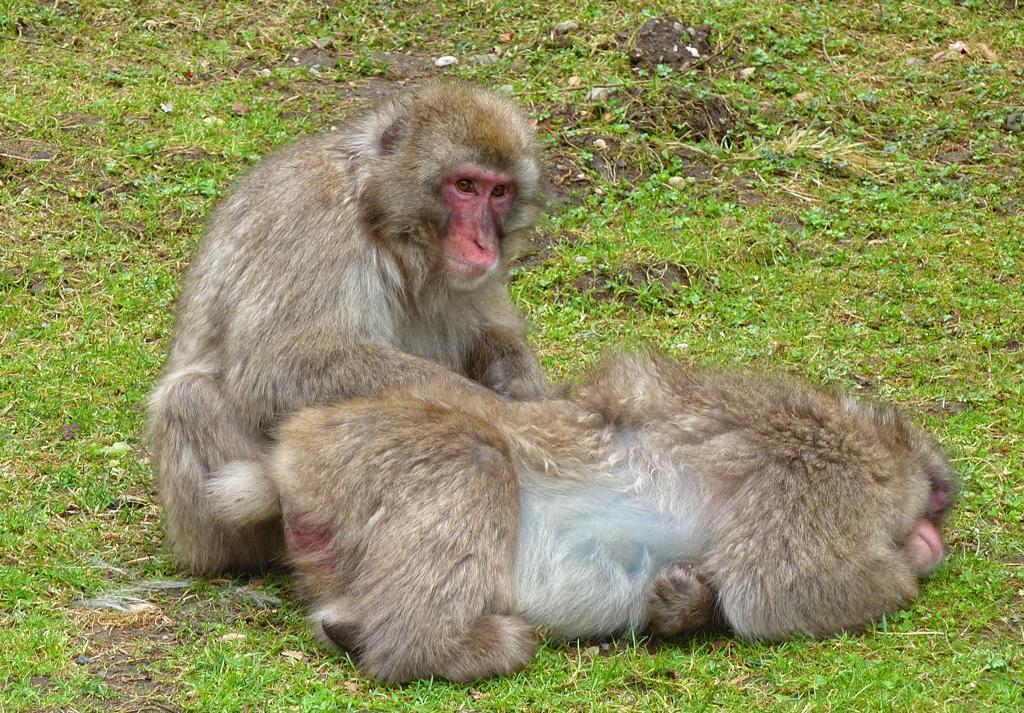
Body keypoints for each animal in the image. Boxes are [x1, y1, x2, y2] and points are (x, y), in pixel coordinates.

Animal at [146, 81, 550, 574]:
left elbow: (492, 331)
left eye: (500, 192)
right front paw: (499, 415)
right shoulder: (315, 224)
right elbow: (282, 365)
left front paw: (518, 381)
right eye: (465, 186)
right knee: (187, 396)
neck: (385, 226)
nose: (482, 242)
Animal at [222, 352, 957, 683]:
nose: (938, 531)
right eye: (935, 508)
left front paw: (684, 602)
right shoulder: (820, 477)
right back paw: (438, 646)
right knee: (475, 461)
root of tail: (289, 458)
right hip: (368, 453)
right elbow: (773, 591)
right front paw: (901, 577)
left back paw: (352, 628)